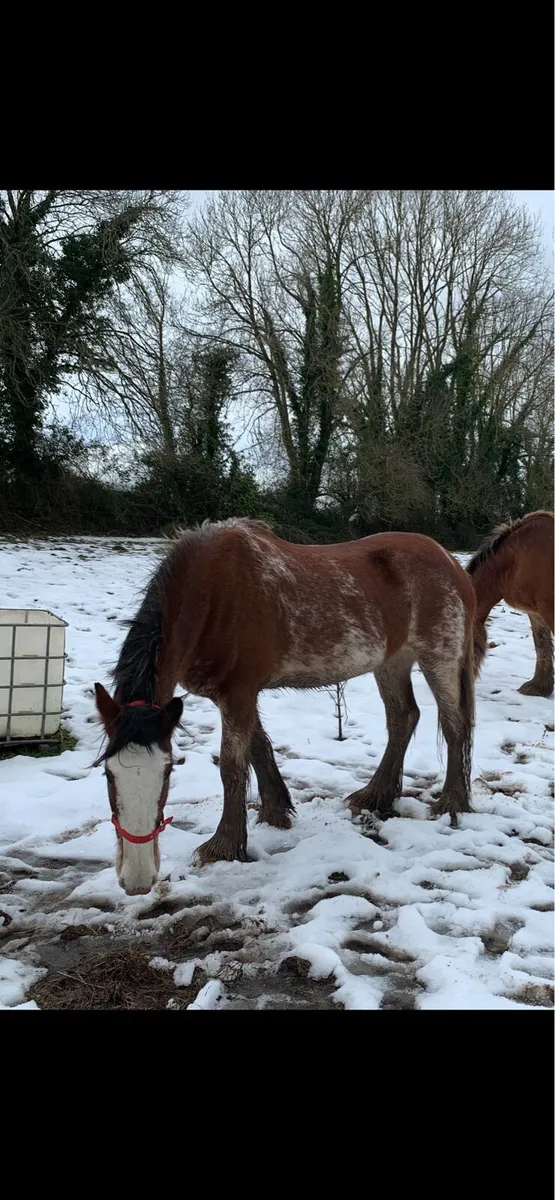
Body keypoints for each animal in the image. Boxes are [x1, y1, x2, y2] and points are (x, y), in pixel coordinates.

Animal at [93, 518, 482, 896]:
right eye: (108, 774)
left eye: (168, 772)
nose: (137, 879)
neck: (211, 592)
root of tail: (450, 563)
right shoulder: (233, 694)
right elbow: (258, 748)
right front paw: (275, 811)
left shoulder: (239, 691)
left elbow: (232, 766)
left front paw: (225, 845)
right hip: (392, 661)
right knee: (403, 718)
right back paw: (375, 795)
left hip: (440, 657)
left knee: (454, 724)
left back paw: (451, 803)